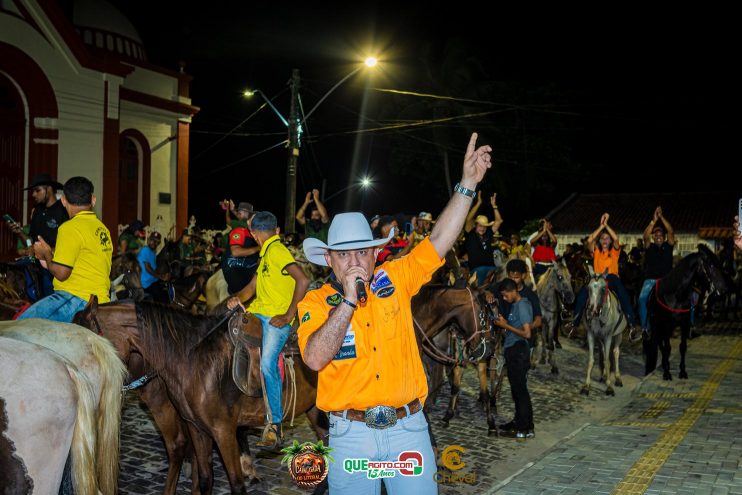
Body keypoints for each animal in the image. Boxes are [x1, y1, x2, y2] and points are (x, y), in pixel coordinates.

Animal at [74, 298, 326, 495]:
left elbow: (236, 485)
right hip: (314, 410)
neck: (194, 361)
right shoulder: (196, 428)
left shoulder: (223, 431)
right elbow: (205, 479)